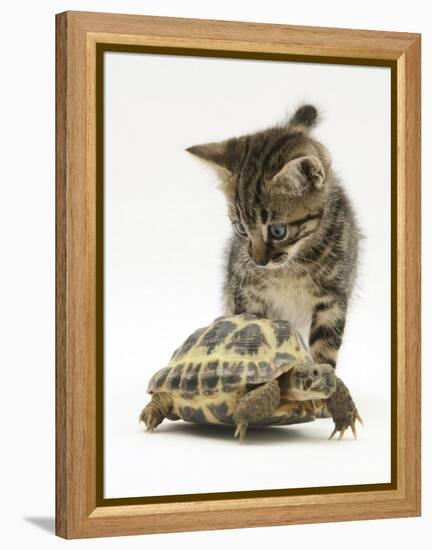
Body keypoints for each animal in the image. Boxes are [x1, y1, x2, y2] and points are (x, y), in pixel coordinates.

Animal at [187, 105, 360, 368]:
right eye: (240, 228)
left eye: (278, 231)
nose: (259, 261)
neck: (291, 268)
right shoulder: (245, 291)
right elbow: (249, 328)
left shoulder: (333, 298)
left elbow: (325, 347)